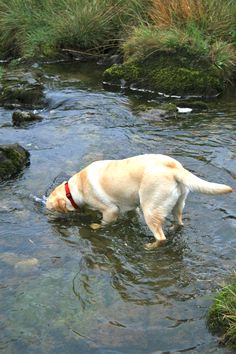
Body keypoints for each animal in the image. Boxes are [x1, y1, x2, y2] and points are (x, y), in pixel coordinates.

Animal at [46, 154, 232, 249]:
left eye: (50, 209)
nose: (48, 218)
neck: (75, 189)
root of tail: (174, 168)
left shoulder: (111, 210)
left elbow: (104, 223)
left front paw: (96, 226)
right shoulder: (131, 208)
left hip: (150, 210)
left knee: (161, 237)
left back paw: (150, 246)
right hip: (178, 204)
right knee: (178, 223)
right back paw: (174, 229)